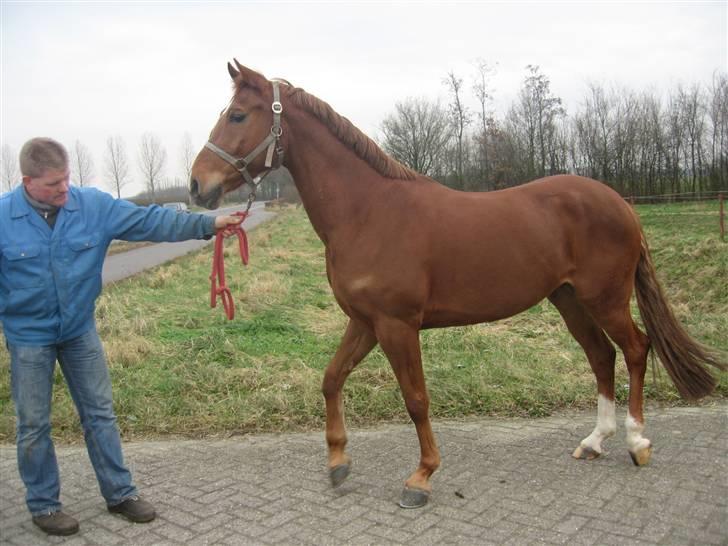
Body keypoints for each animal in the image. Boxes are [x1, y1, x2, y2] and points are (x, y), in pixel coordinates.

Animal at [191, 61, 724, 508]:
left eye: (237, 115)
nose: (198, 185)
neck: (369, 212)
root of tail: (620, 203)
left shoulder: (397, 326)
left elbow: (416, 399)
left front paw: (422, 477)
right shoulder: (365, 322)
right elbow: (331, 379)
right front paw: (338, 462)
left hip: (605, 297)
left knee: (635, 349)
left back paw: (637, 442)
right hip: (569, 299)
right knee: (601, 356)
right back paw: (594, 442)